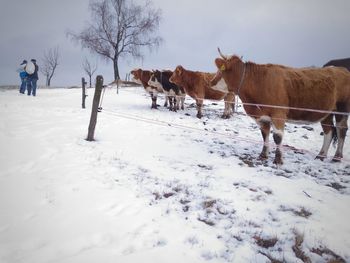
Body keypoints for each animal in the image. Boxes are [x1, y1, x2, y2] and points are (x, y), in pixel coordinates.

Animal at [212, 48, 350, 165]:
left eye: (220, 70)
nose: (212, 82)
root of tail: (341, 69)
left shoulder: (278, 114)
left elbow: (277, 137)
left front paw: (278, 160)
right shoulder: (262, 116)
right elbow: (264, 134)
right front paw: (263, 155)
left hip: (342, 109)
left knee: (341, 130)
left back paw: (337, 157)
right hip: (327, 112)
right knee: (329, 131)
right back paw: (321, 155)